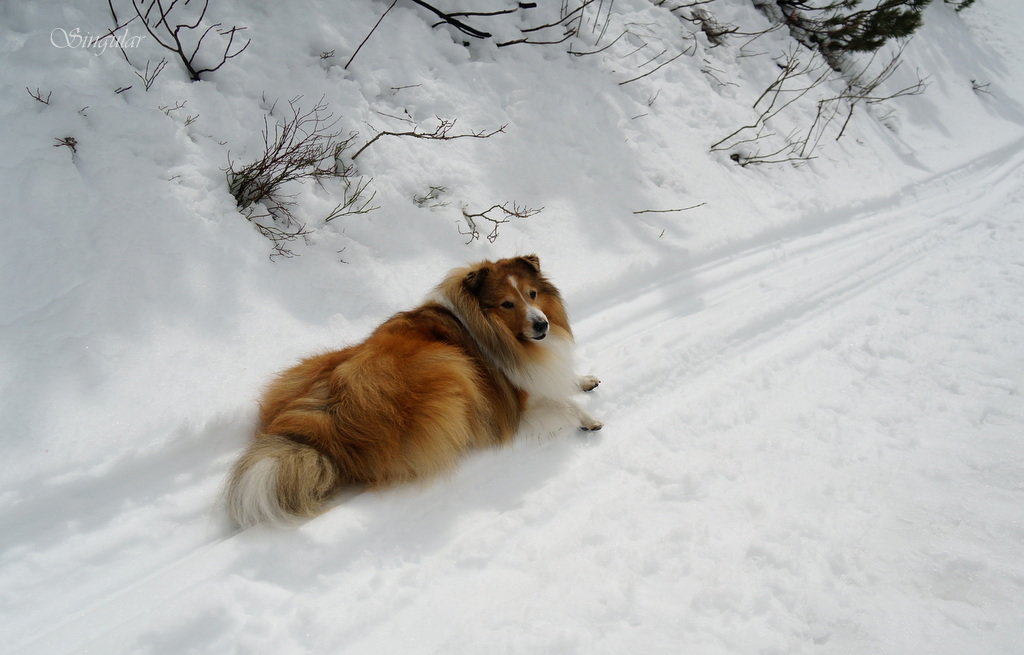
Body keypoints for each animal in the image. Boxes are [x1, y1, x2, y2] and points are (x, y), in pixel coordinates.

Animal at [226, 254, 598, 528]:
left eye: (532, 294)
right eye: (506, 304)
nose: (542, 325)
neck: (490, 329)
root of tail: (326, 432)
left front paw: (584, 380)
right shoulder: (518, 399)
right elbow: (561, 402)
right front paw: (587, 418)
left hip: (311, 368)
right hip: (447, 362)